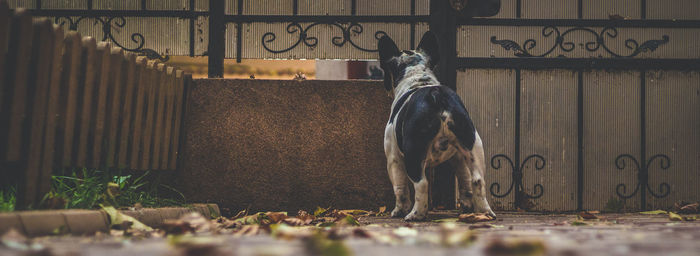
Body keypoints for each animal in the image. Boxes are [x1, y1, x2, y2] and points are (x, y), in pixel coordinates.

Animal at [378, 31, 498, 220]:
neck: (418, 78)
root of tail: (436, 95)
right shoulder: (458, 156)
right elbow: (464, 180)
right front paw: (467, 205)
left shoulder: (393, 157)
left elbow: (400, 187)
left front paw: (398, 210)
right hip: (472, 142)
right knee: (477, 179)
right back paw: (484, 212)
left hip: (413, 151)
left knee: (421, 184)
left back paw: (415, 214)